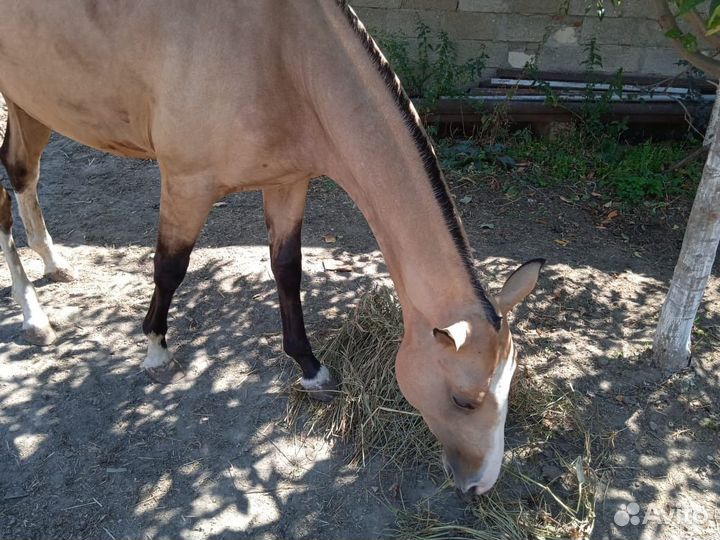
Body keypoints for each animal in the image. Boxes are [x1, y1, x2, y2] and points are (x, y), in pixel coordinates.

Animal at [0, 0, 543, 495]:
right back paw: (34, 317)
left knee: (22, 177)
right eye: (463, 400)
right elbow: (171, 267)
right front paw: (155, 349)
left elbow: (287, 269)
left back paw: (53, 262)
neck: (283, 53)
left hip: (29, 104)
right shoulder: (185, 185)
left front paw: (311, 369)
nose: (480, 485)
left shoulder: (288, 182)